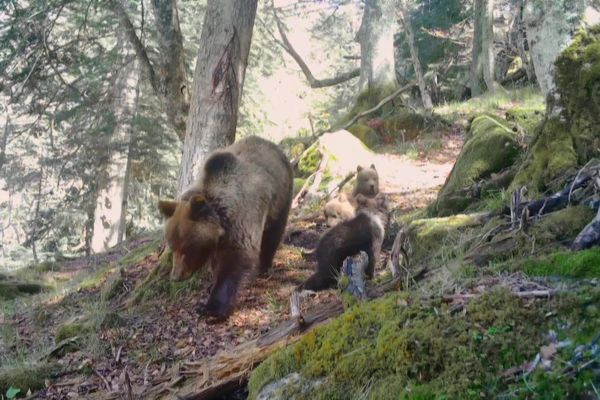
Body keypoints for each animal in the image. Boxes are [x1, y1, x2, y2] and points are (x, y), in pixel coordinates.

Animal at [157, 136, 292, 320]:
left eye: (186, 248)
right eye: (173, 247)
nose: (176, 277)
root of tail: (271, 145)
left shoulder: (242, 220)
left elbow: (235, 261)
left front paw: (211, 307)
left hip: (281, 197)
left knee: (273, 235)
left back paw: (264, 266)